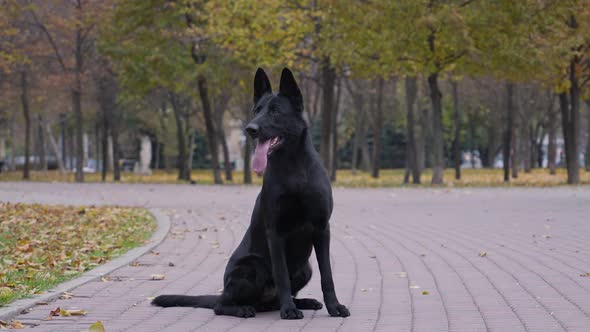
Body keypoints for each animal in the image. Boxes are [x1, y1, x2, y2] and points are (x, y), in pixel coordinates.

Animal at [153, 67, 352, 320]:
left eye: (275, 111)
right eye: (257, 110)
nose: (250, 129)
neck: (294, 167)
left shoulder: (322, 229)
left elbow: (327, 275)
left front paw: (334, 306)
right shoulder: (275, 232)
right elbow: (281, 275)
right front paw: (289, 310)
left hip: (305, 268)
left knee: (271, 301)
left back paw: (303, 302)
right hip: (251, 266)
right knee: (222, 305)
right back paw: (245, 308)